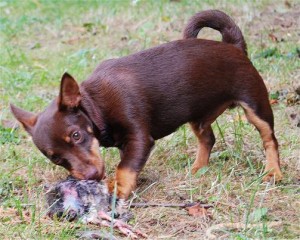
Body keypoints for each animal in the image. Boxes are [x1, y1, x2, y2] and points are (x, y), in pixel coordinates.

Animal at [10, 10, 282, 200]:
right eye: (55, 158)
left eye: (76, 136)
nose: (90, 177)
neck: (96, 106)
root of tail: (232, 45)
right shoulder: (126, 144)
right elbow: (129, 164)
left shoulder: (139, 138)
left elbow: (125, 167)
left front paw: (119, 187)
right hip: (197, 114)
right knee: (208, 138)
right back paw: (198, 168)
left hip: (255, 104)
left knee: (269, 138)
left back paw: (273, 172)